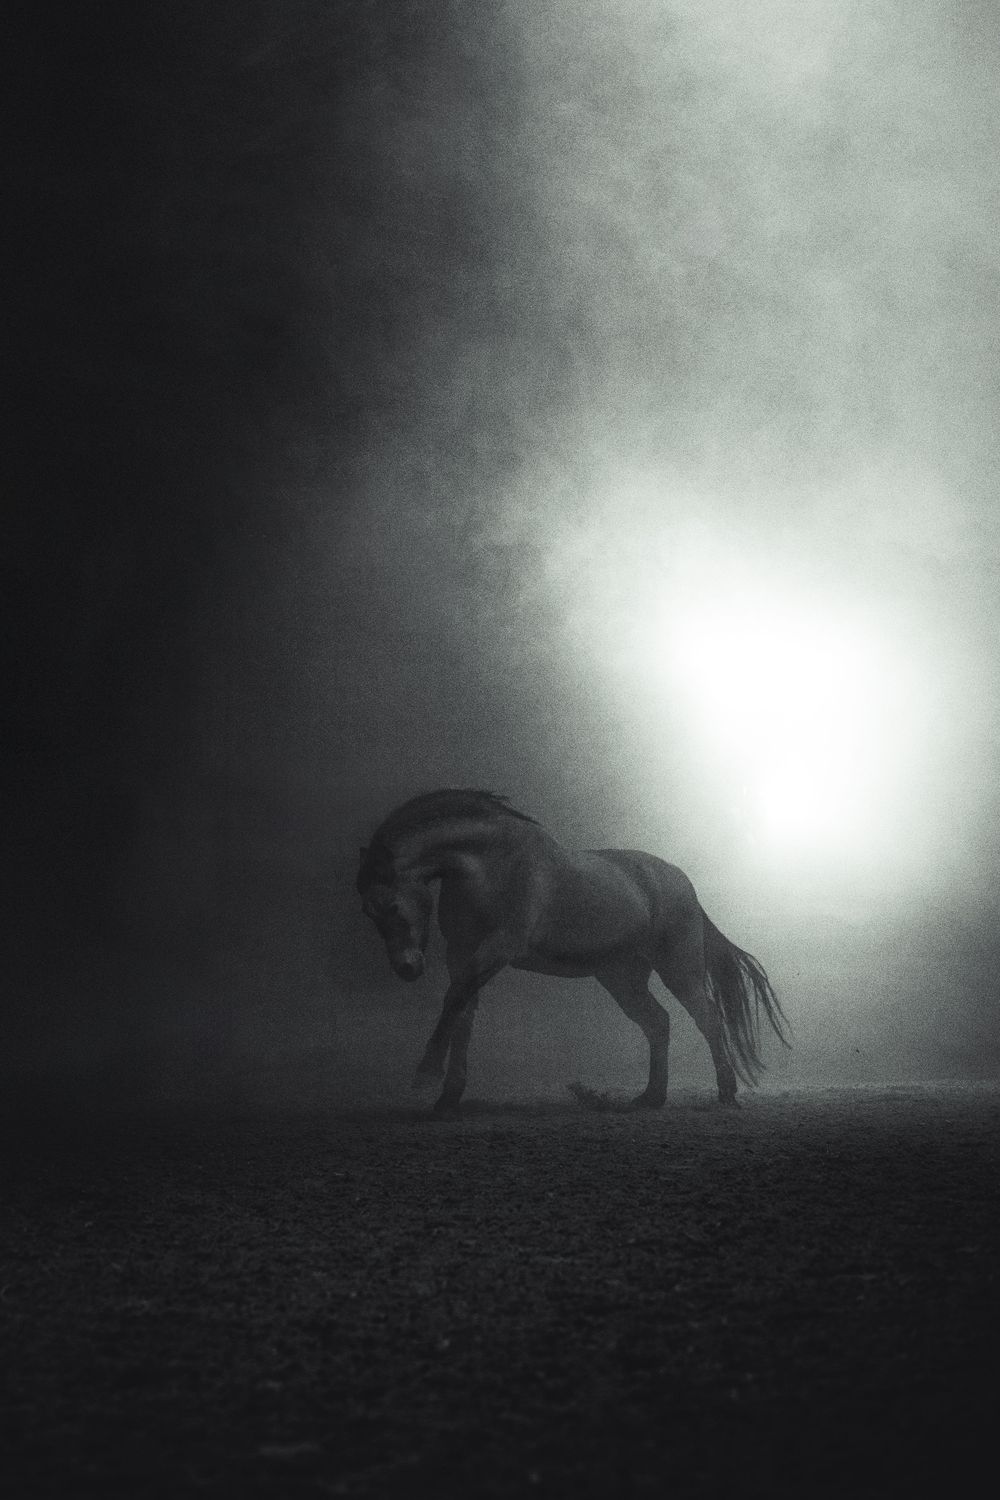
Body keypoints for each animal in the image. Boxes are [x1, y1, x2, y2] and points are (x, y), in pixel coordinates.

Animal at [356, 789, 789, 1114]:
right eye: (369, 913)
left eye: (391, 906)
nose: (406, 968)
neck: (489, 863)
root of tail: (683, 884)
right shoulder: (460, 953)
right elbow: (461, 1012)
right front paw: (448, 1097)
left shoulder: (499, 947)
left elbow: (454, 1001)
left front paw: (425, 1076)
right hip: (620, 978)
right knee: (657, 1023)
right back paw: (650, 1098)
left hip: (679, 970)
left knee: (708, 1019)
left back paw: (726, 1094)